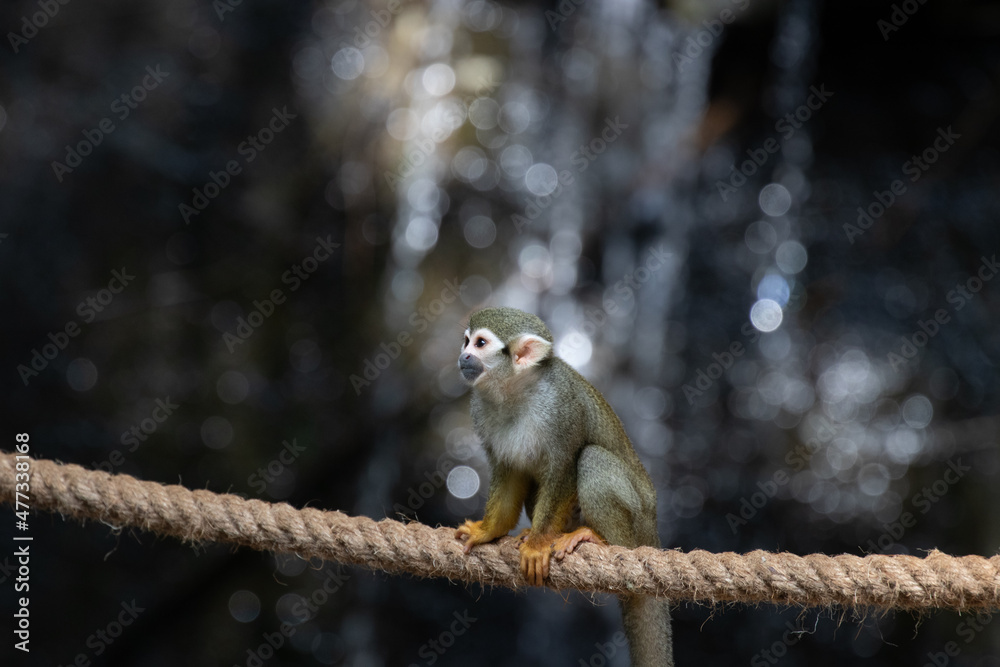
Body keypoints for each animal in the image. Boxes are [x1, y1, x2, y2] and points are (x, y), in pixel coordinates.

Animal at [454, 307, 672, 667]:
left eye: (480, 343)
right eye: (466, 340)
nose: (463, 356)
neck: (517, 390)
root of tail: (652, 529)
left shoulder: (561, 407)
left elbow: (566, 464)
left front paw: (538, 545)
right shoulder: (480, 409)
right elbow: (510, 471)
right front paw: (488, 530)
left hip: (638, 517)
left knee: (591, 459)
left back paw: (597, 538)